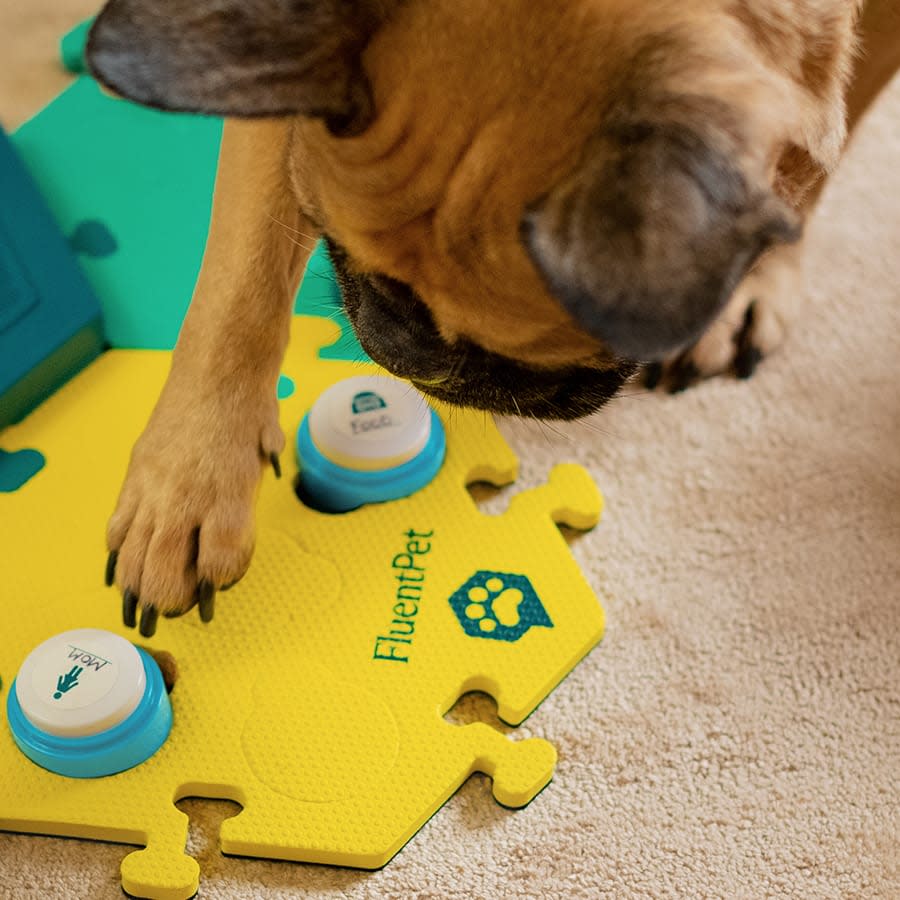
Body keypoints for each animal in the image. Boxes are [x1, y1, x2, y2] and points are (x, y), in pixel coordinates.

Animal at [86, 0, 900, 636]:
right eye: (338, 247)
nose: (409, 357)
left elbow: (814, 152)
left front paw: (754, 274)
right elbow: (238, 283)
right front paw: (186, 485)